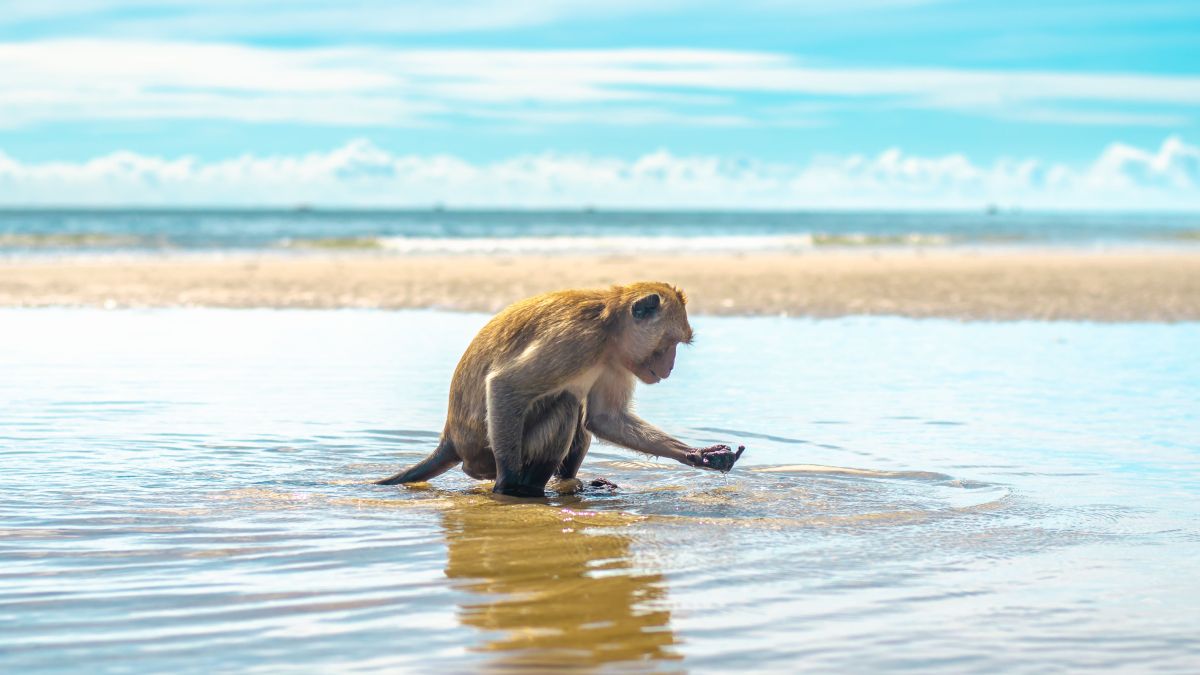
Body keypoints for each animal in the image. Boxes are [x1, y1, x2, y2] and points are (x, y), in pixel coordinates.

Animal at [374, 278, 744, 494]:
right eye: (669, 344)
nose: (670, 366)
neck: (608, 327)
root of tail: (451, 438)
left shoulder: (615, 360)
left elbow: (605, 418)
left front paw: (701, 455)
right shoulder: (577, 340)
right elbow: (505, 386)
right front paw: (506, 486)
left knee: (579, 414)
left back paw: (573, 484)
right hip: (481, 458)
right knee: (565, 405)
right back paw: (526, 491)